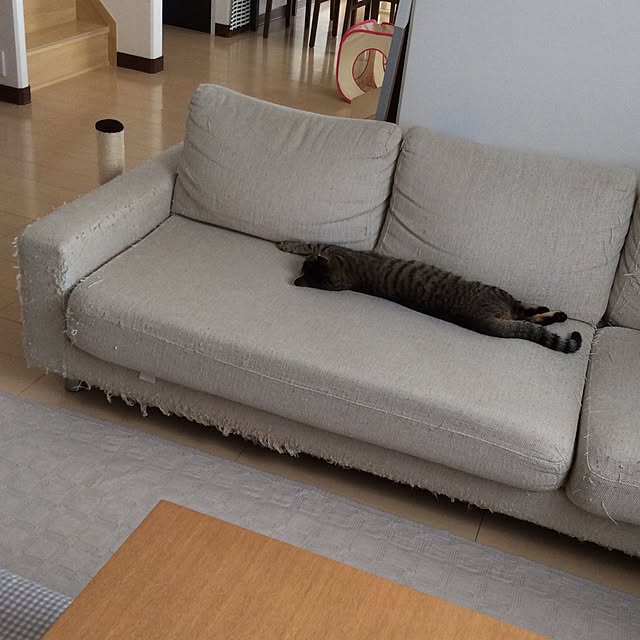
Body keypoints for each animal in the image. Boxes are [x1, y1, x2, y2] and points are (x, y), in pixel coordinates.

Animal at [277, 241, 582, 354]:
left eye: (306, 266)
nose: (306, 264)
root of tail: (481, 319)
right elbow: (307, 242)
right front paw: (289, 244)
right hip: (499, 293)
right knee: (527, 313)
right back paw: (556, 313)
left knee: (528, 317)